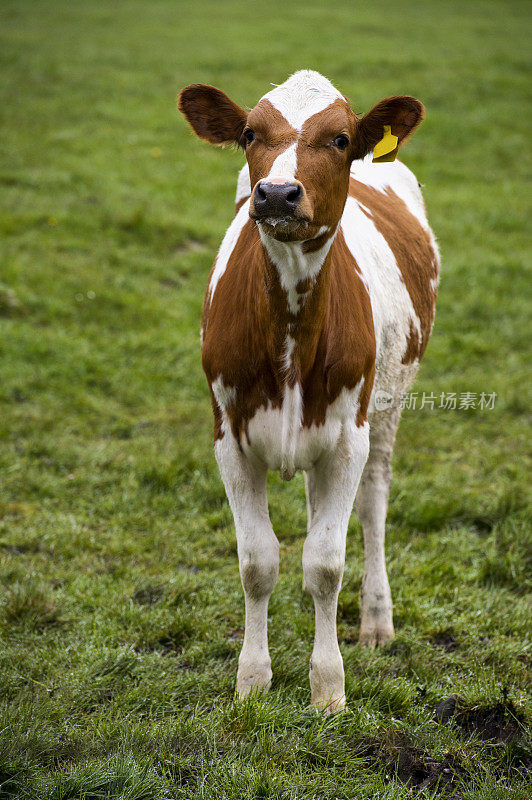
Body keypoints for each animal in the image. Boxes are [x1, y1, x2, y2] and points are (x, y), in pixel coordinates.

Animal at [177, 70, 438, 712]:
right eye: (250, 132)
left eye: (340, 138)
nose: (276, 194)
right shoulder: (230, 438)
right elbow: (257, 560)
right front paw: (252, 680)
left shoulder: (348, 439)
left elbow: (324, 563)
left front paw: (328, 688)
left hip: (387, 408)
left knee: (372, 504)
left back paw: (375, 620)